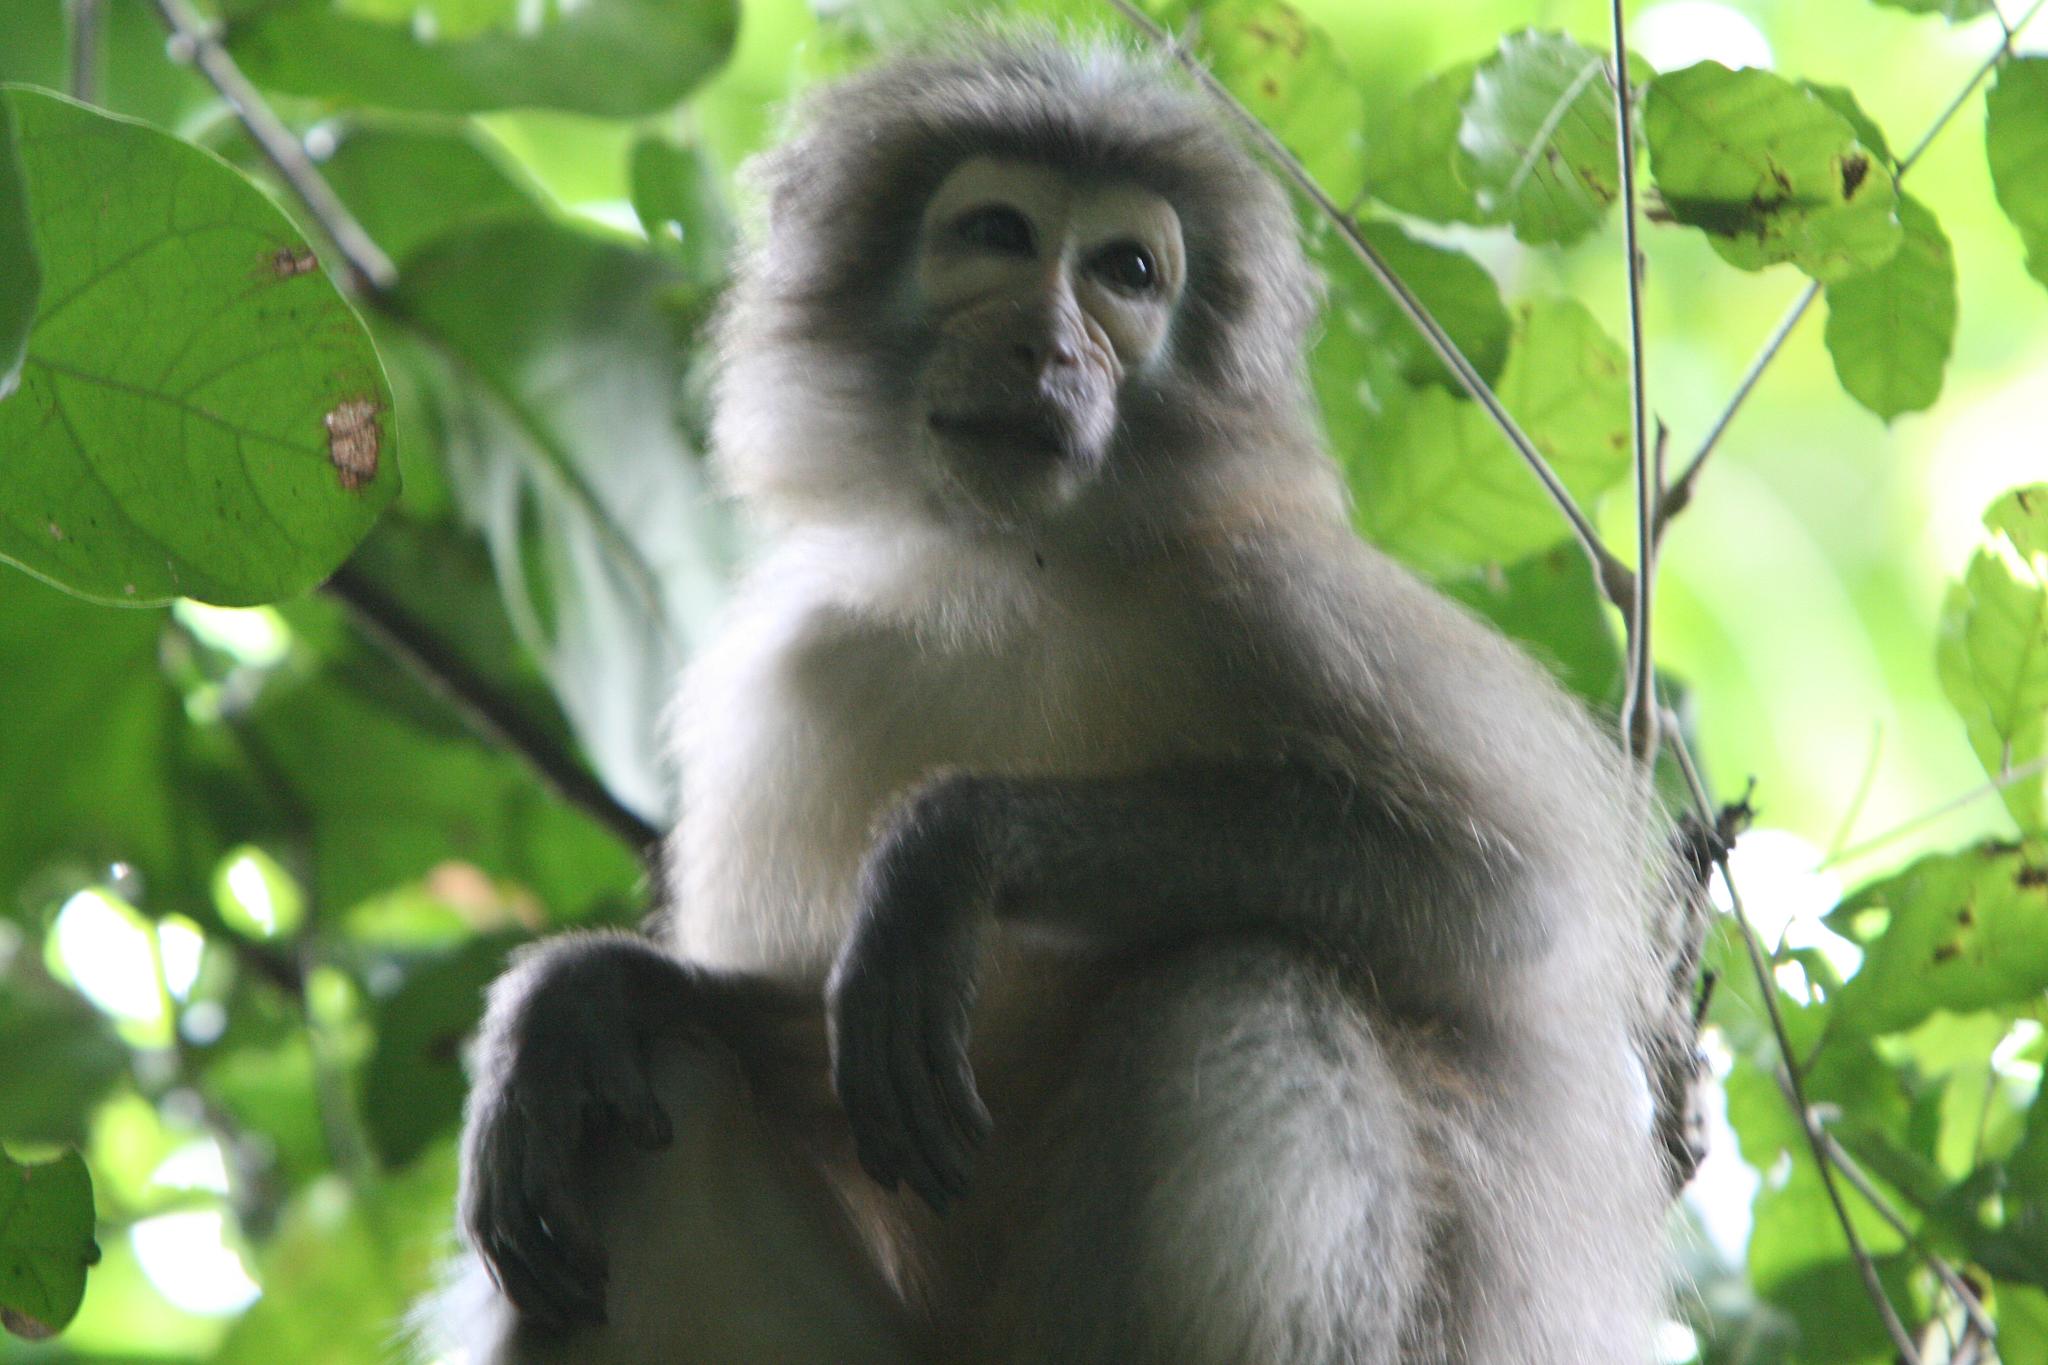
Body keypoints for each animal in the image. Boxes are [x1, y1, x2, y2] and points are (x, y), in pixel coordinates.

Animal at [436, 34, 1679, 1365]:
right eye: (996, 234)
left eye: (1123, 273)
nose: (1050, 346)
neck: (1013, 566)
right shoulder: (790, 668)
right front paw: (591, 991)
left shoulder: (1277, 591)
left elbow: (1516, 900)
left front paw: (950, 851)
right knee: (643, 1101)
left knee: (1243, 979)